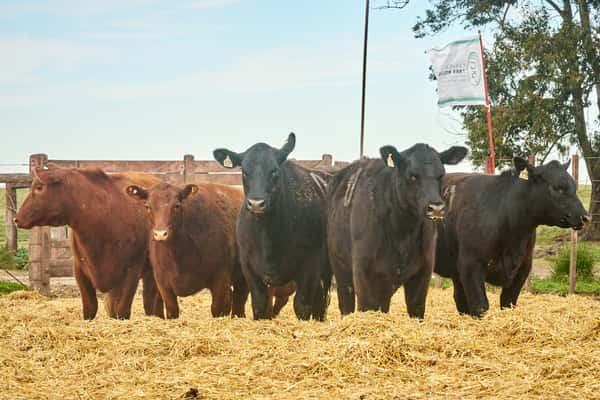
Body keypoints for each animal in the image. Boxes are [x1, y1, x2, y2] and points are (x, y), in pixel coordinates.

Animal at [14, 167, 164, 320]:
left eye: (39, 187)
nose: (16, 218)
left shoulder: (132, 270)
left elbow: (122, 310)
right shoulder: (80, 270)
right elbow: (90, 308)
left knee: (151, 302)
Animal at [125, 181, 250, 318]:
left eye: (176, 206)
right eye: (147, 206)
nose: (160, 234)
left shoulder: (220, 280)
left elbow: (218, 309)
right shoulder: (163, 283)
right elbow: (172, 310)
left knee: (239, 302)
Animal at [212, 133, 332, 320]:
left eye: (274, 170)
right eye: (244, 171)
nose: (256, 203)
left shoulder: (310, 266)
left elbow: (301, 305)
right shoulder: (249, 268)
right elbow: (259, 304)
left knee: (321, 302)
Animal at [326, 142, 466, 318]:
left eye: (441, 175)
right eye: (412, 176)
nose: (436, 208)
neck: (402, 233)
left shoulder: (423, 271)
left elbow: (416, 308)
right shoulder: (363, 272)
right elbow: (366, 306)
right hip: (341, 267)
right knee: (346, 302)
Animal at [436, 158, 592, 318]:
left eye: (574, 187)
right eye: (557, 187)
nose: (586, 217)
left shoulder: (523, 267)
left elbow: (508, 302)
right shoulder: (471, 265)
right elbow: (481, 306)